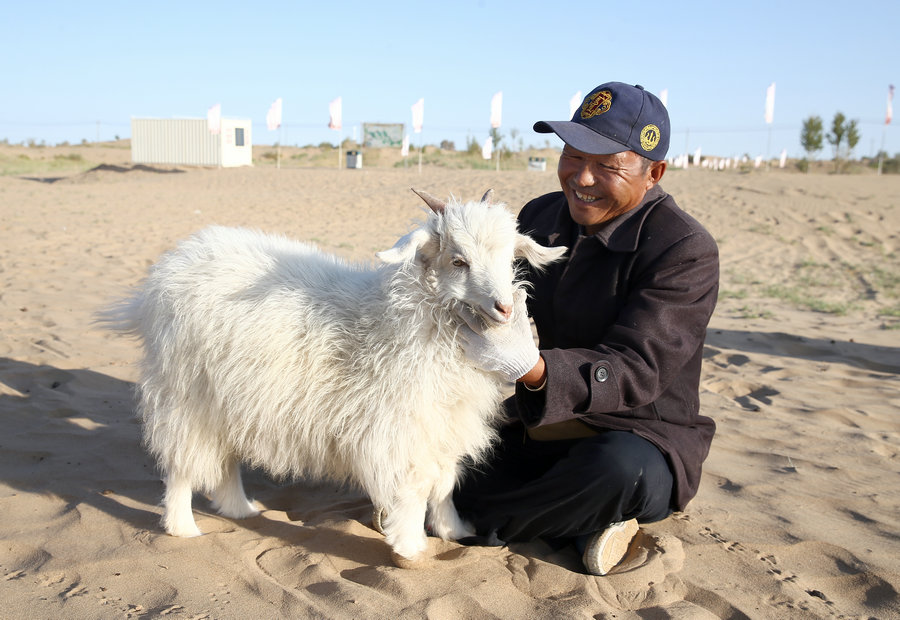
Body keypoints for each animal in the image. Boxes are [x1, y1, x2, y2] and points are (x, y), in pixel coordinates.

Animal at [98, 189, 564, 560]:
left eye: (509, 259)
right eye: (459, 260)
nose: (505, 309)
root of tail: (166, 272)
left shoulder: (443, 420)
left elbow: (444, 481)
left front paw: (454, 530)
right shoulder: (400, 427)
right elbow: (415, 486)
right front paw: (411, 546)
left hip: (227, 397)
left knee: (225, 457)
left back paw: (240, 509)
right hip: (186, 393)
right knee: (182, 461)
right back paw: (182, 526)